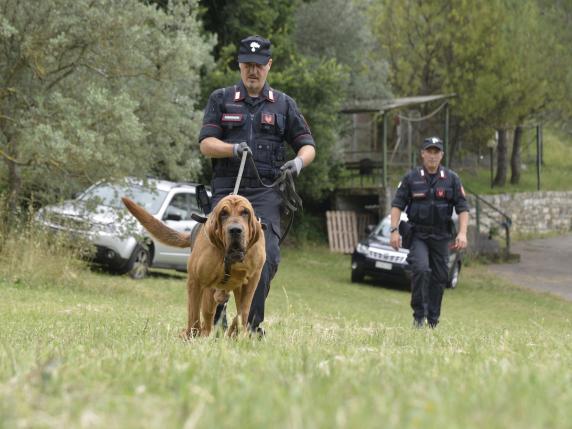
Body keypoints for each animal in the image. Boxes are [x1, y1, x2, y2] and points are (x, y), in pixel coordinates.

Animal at [123, 194, 266, 338]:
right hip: (208, 292)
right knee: (206, 318)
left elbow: (243, 311)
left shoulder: (252, 281)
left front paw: (236, 334)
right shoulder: (195, 281)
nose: (235, 230)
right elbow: (194, 314)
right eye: (223, 214)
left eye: (245, 212)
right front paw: (191, 335)